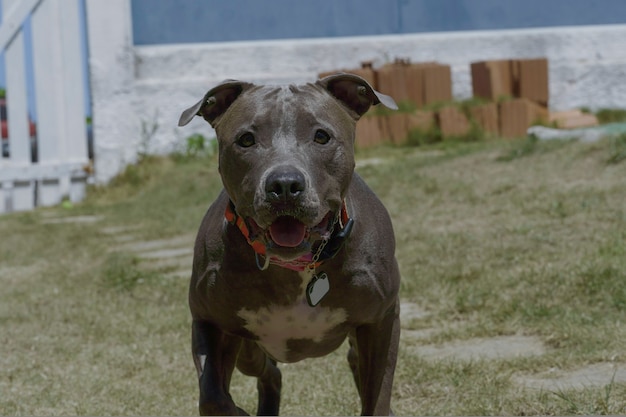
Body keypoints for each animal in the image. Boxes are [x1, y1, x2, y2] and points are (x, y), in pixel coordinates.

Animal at [177, 73, 400, 414]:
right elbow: (212, 396)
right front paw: (237, 412)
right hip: (248, 350)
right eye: (246, 140)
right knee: (269, 372)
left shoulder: (381, 321)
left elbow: (377, 398)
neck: (294, 266)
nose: (284, 184)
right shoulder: (209, 321)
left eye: (321, 136)